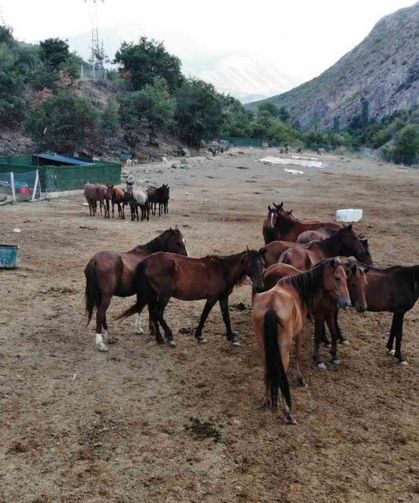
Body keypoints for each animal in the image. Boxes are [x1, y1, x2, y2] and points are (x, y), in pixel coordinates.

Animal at [116, 251, 264, 348]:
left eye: (262, 264)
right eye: (251, 264)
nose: (260, 287)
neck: (223, 270)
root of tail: (145, 261)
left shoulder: (223, 297)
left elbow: (226, 317)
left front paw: (232, 338)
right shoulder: (212, 297)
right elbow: (204, 315)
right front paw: (199, 336)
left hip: (154, 294)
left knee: (153, 313)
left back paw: (159, 338)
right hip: (164, 294)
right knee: (158, 313)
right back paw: (169, 337)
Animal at [251, 260, 352, 426]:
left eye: (346, 278)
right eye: (337, 278)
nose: (346, 303)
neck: (297, 289)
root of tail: (271, 306)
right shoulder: (303, 329)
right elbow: (299, 354)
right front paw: (302, 378)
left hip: (263, 346)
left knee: (266, 370)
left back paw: (267, 401)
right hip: (283, 349)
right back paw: (288, 413)